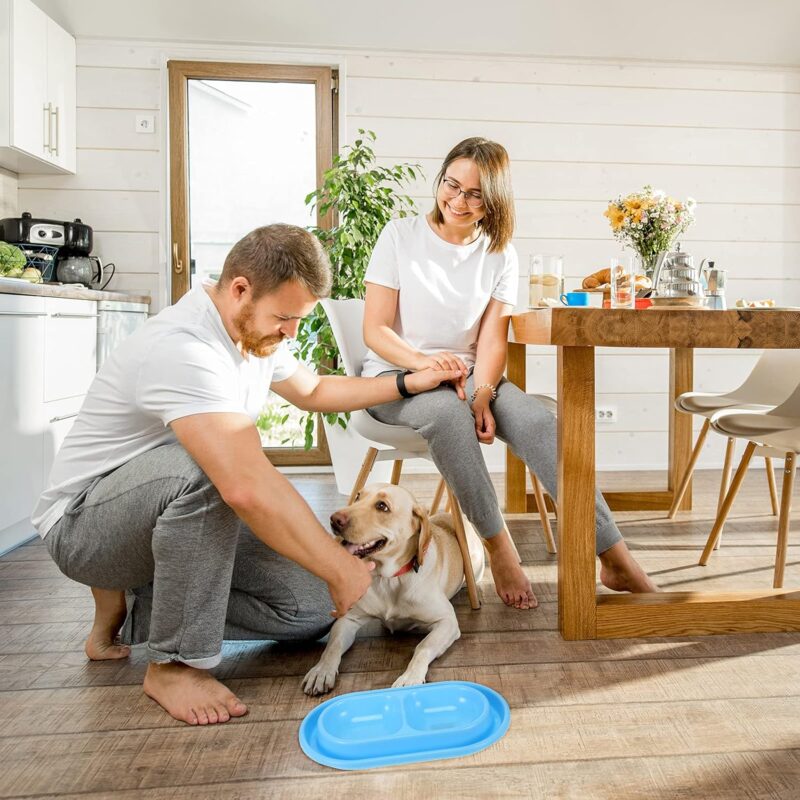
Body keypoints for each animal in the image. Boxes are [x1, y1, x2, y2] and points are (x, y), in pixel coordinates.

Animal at [302, 482, 484, 692]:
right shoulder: (347, 619)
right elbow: (332, 646)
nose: (334, 519)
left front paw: (410, 677)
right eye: (358, 496)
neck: (389, 579)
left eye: (382, 506)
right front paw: (321, 670)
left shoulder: (447, 622)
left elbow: (423, 647)